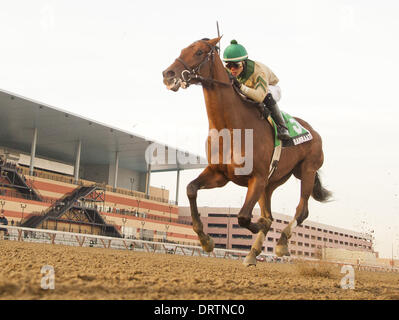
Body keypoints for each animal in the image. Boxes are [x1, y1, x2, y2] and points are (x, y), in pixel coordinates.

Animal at [161, 36, 332, 266]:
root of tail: (313, 131)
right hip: (270, 183)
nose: (168, 74)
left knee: (301, 210)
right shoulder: (220, 174)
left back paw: (281, 244)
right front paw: (205, 240)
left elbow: (243, 217)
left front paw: (257, 227)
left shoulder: (256, 177)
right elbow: (190, 189)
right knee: (270, 214)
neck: (231, 127)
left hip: (306, 171)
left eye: (198, 52)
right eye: (182, 49)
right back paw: (252, 253)